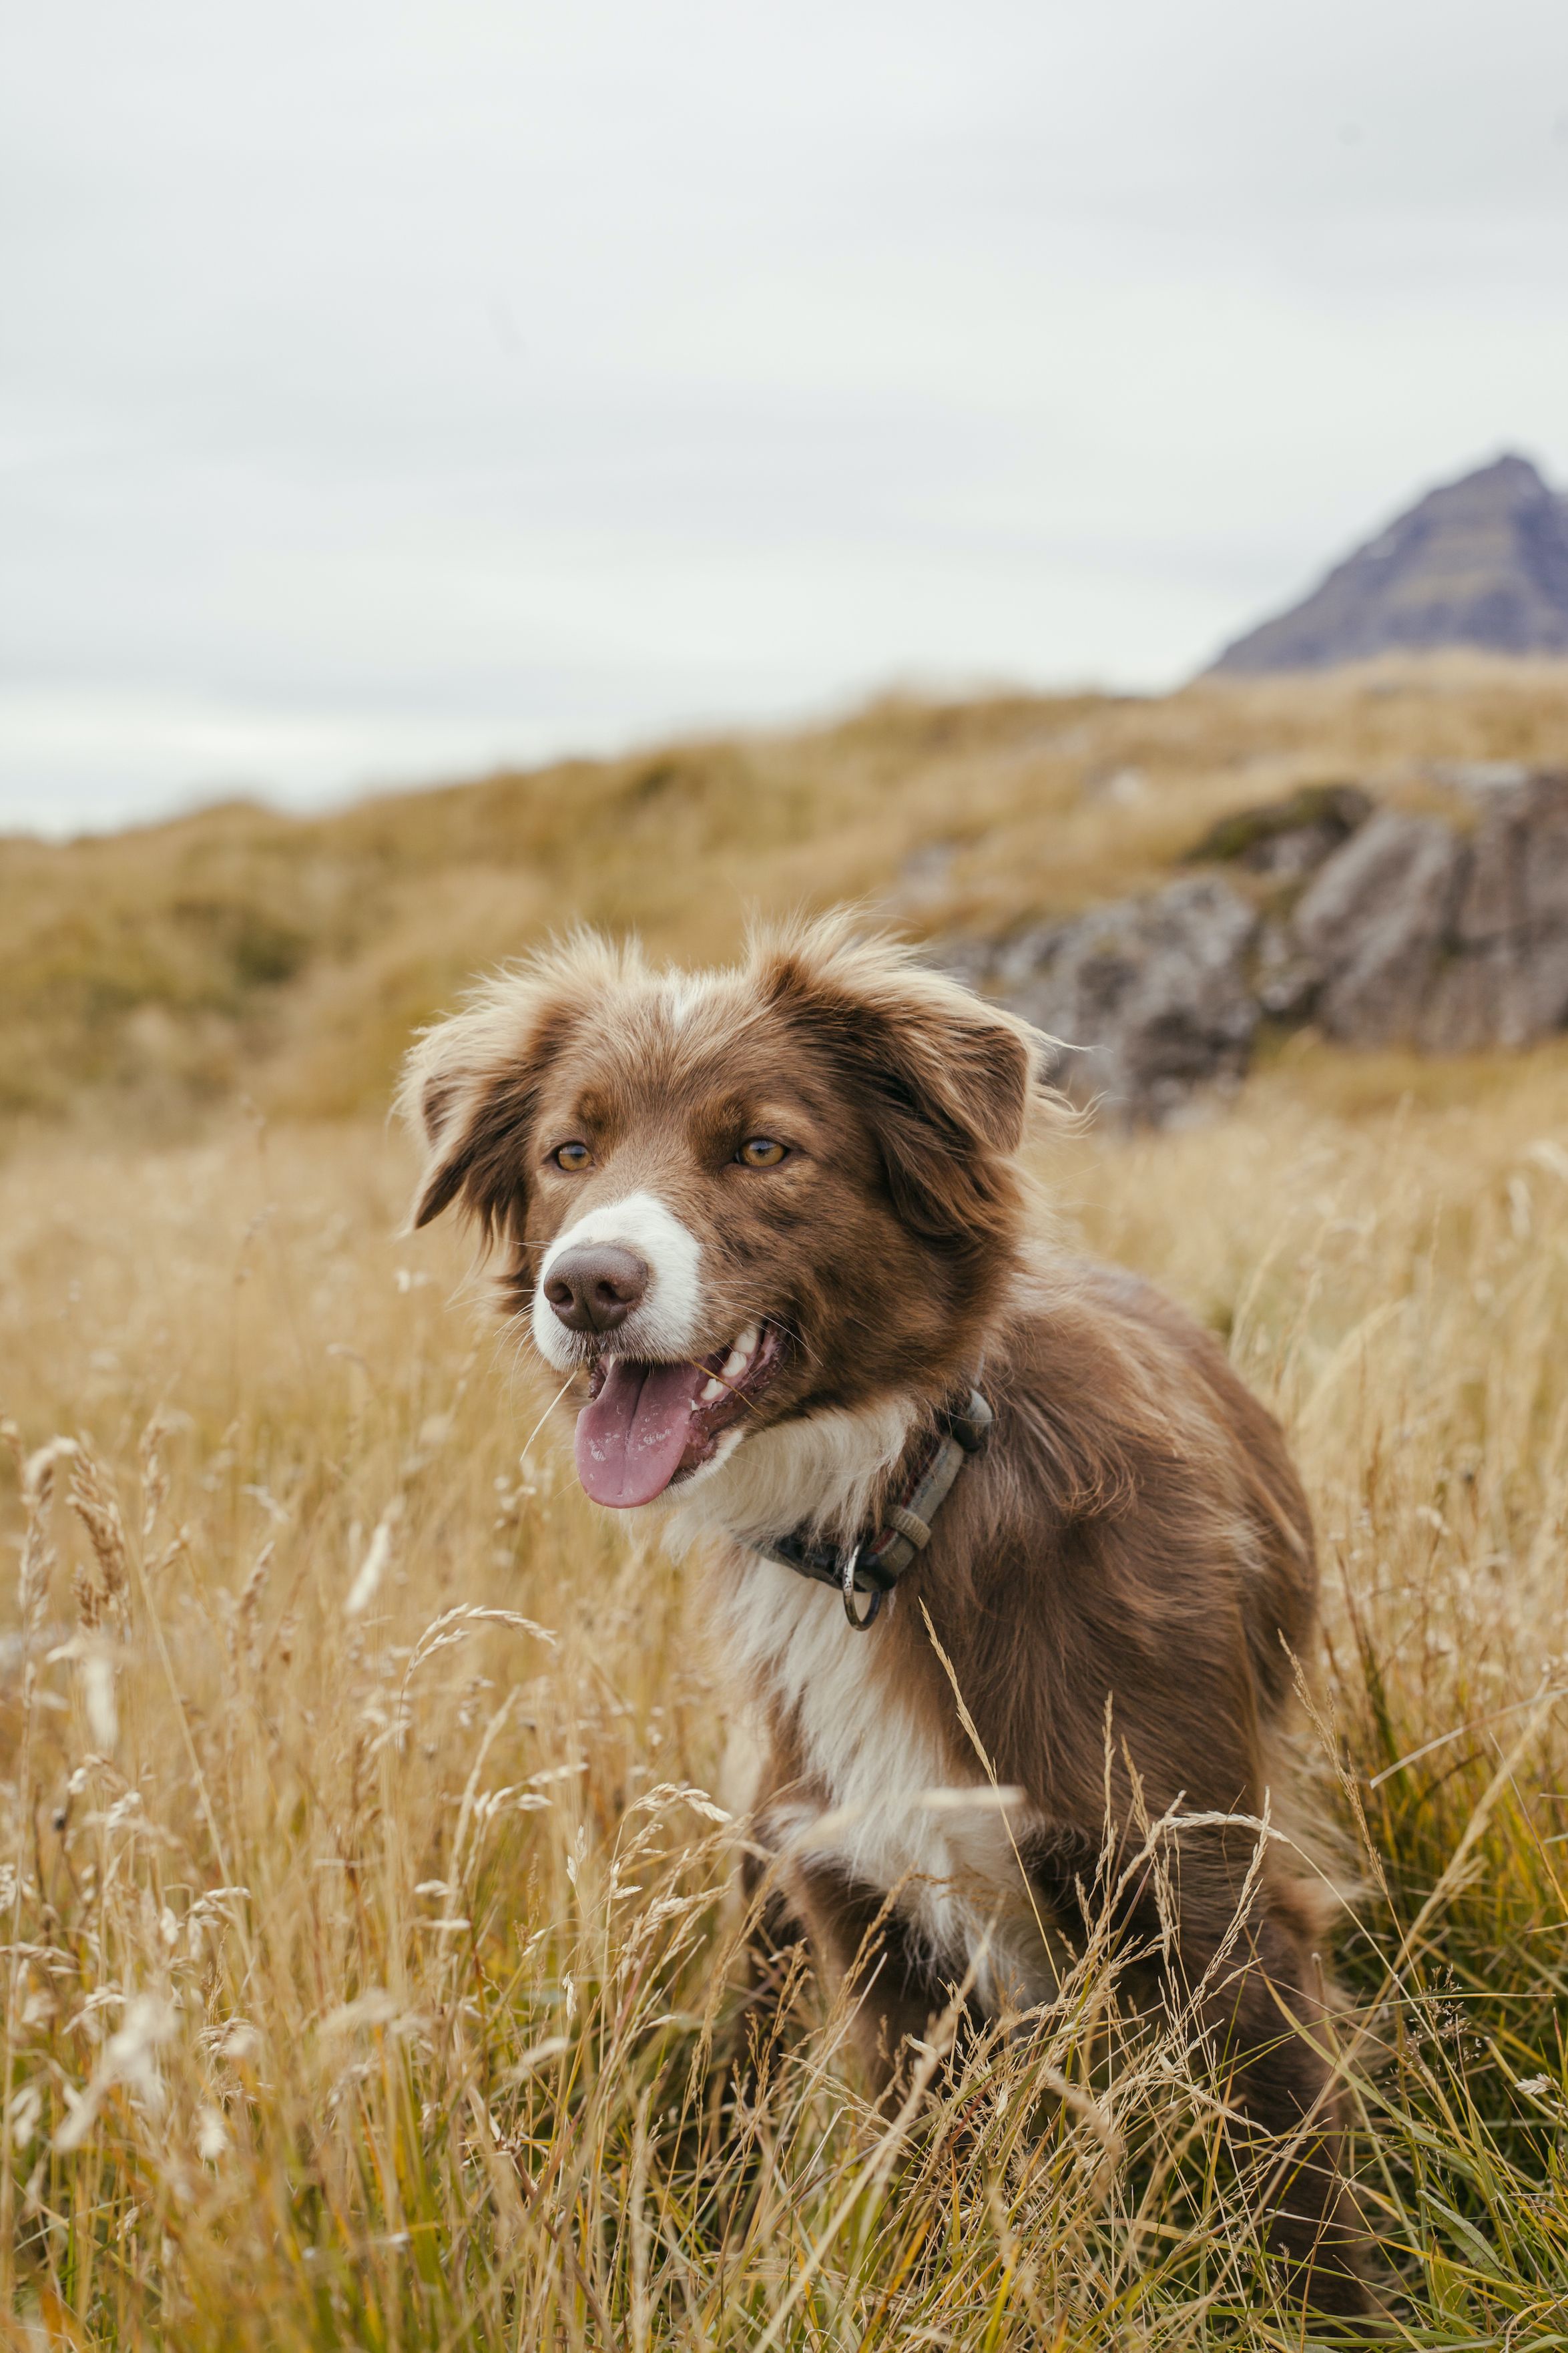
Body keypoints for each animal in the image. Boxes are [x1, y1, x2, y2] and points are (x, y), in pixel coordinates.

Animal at [402, 908, 1372, 2306]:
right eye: (567, 1153)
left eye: (761, 1147)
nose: (585, 1287)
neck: (891, 1504)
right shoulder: (869, 1928)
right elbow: (926, 2180)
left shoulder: (1207, 1891)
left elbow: (1302, 2209)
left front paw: (1344, 2312)